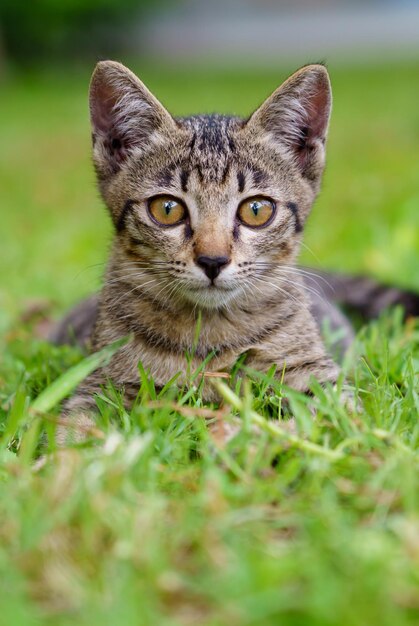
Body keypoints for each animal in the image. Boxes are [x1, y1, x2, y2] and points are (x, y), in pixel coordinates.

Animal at [54, 61, 418, 436]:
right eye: (167, 209)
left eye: (256, 210)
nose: (213, 260)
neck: (210, 333)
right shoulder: (99, 383)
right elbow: (74, 427)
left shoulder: (317, 376)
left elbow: (338, 422)